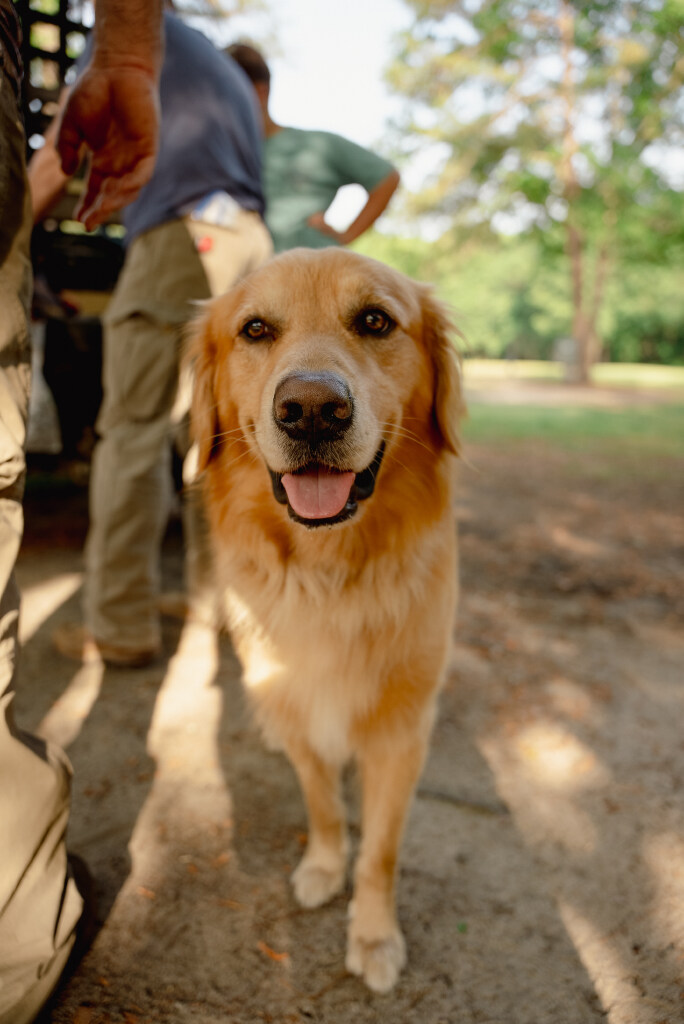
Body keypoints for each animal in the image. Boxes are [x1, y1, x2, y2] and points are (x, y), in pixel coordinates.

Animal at [189, 247, 462, 991]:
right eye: (255, 329)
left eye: (375, 321)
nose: (312, 410)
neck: (329, 575)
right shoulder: (293, 701)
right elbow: (323, 805)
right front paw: (321, 866)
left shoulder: (401, 732)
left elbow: (382, 850)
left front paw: (373, 934)